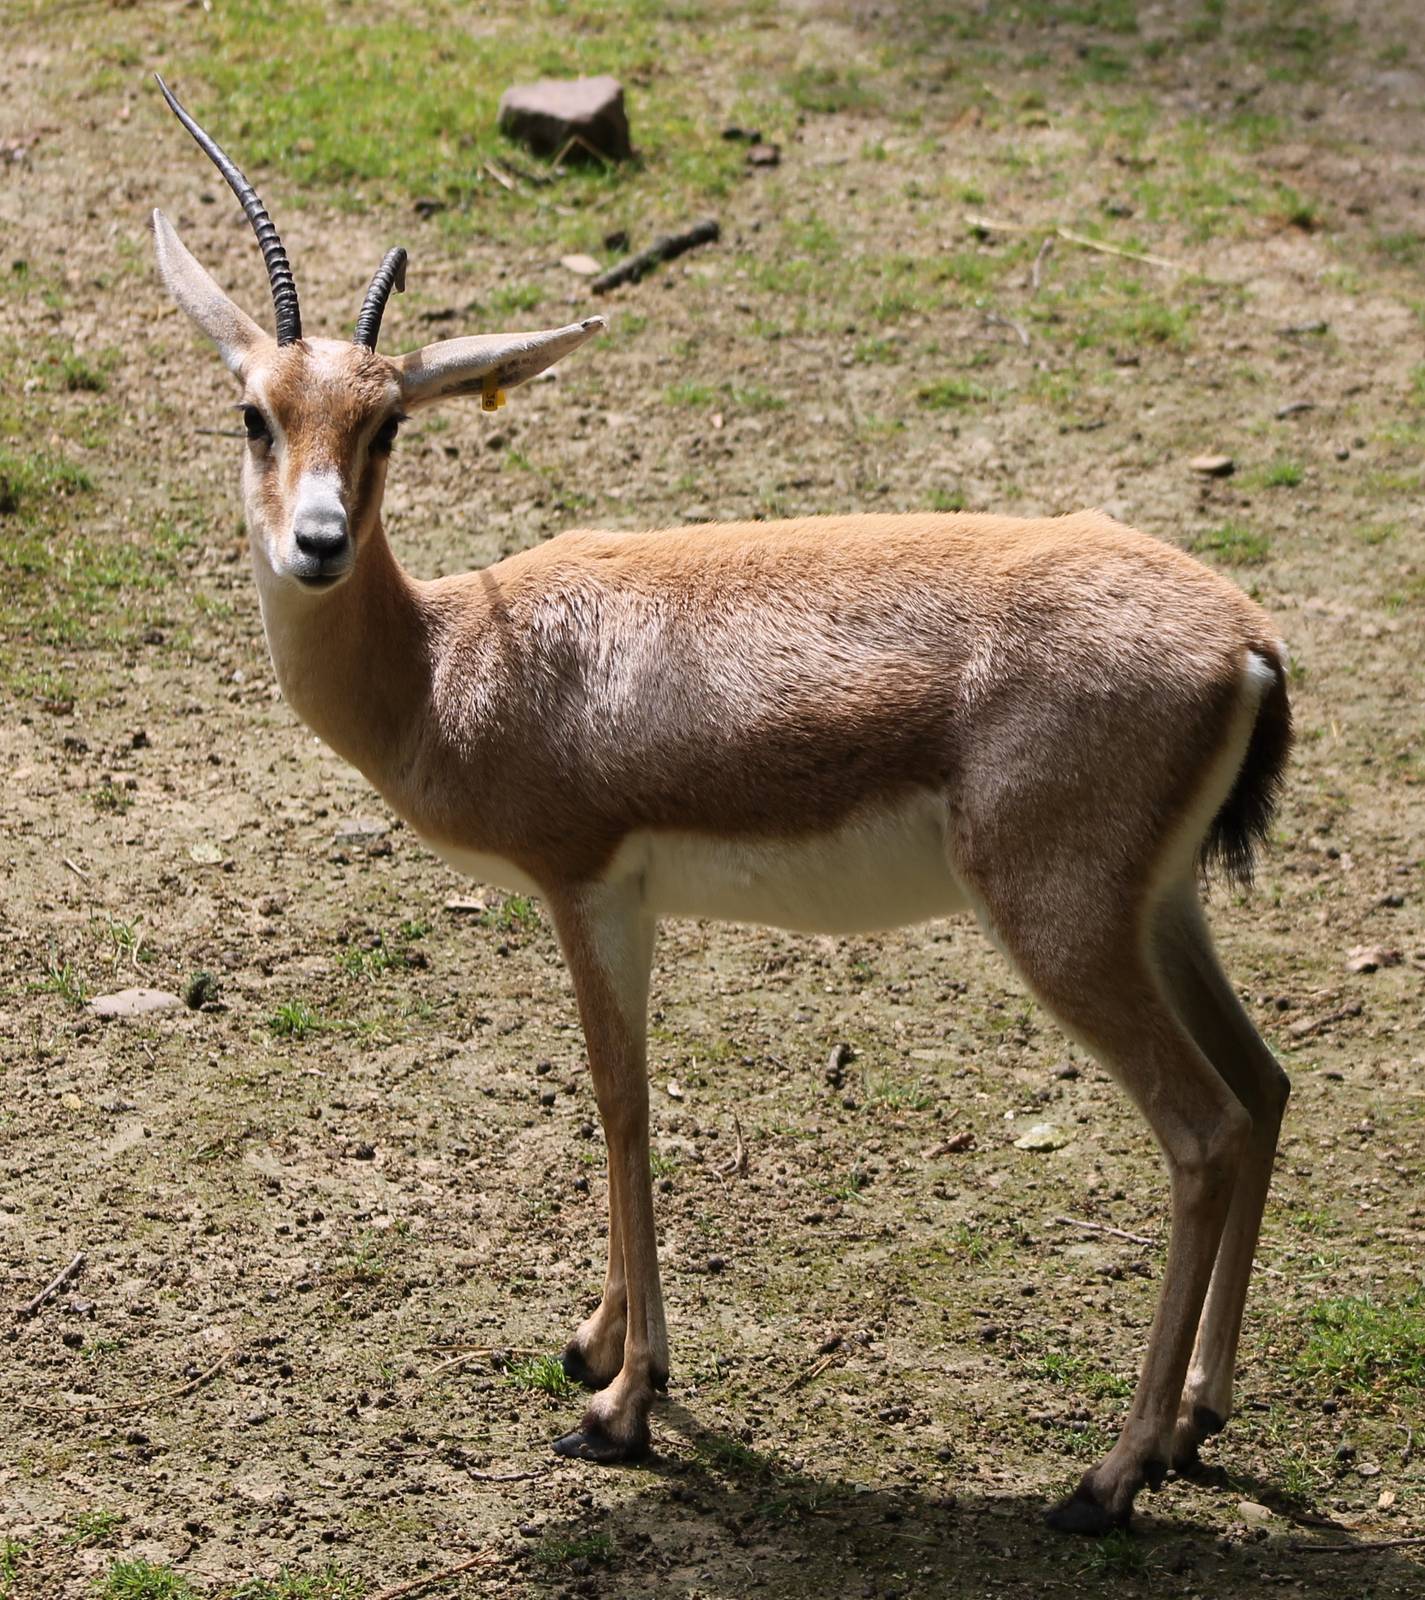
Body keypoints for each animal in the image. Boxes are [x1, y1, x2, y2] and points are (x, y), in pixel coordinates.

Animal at [152, 76, 1293, 1535]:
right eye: (254, 410)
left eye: (388, 422)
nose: (318, 543)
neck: (450, 663)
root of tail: (1246, 637)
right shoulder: (621, 898)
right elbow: (620, 1097)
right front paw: (594, 1344)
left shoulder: (590, 887)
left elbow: (622, 1098)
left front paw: (624, 1405)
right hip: (1155, 910)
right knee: (1264, 1085)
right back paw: (1200, 1419)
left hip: (1062, 923)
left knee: (1203, 1127)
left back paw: (1112, 1473)